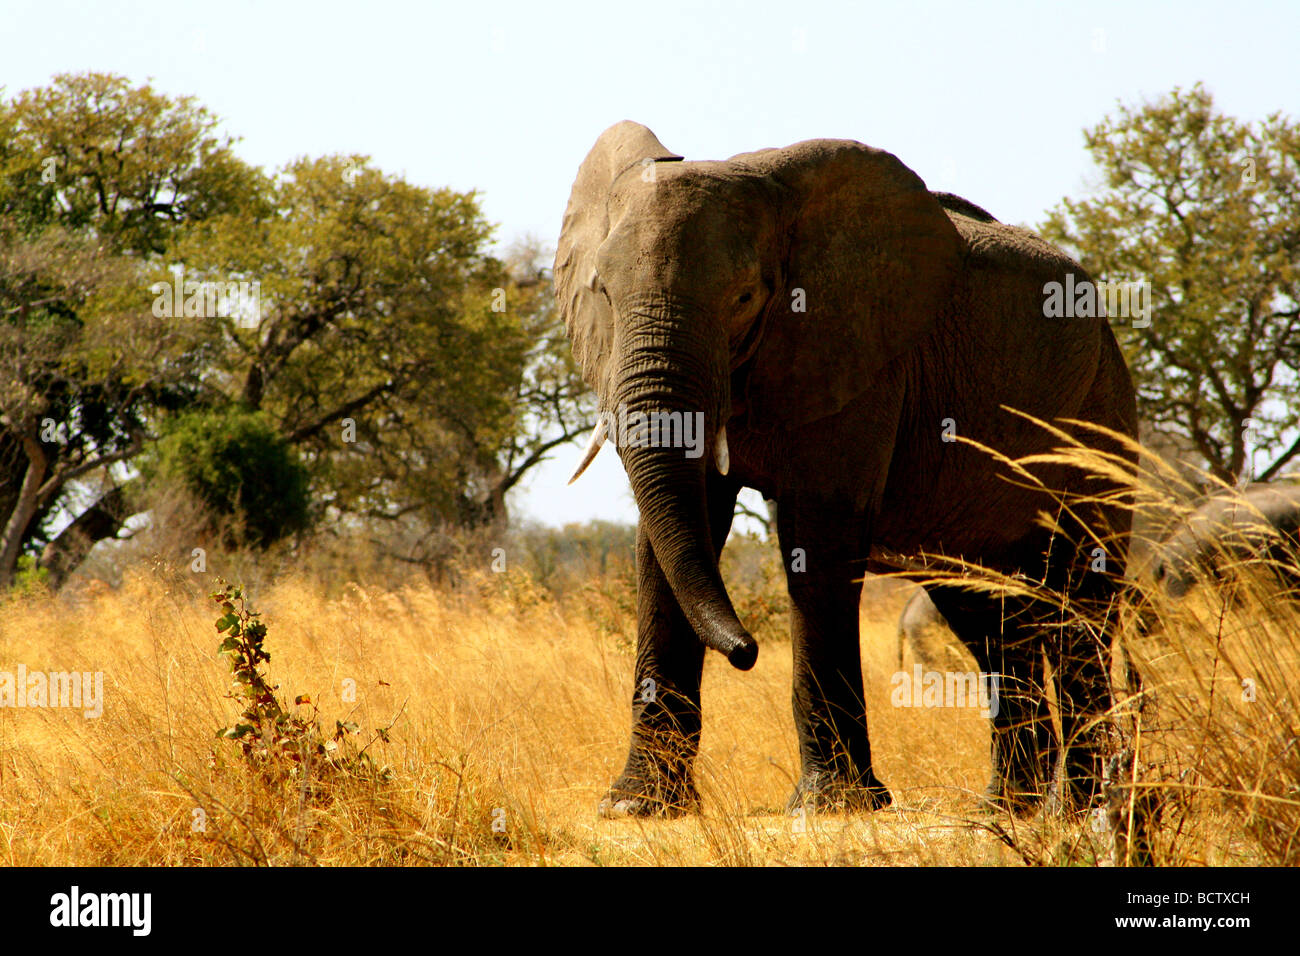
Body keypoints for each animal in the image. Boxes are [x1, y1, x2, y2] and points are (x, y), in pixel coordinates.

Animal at [559, 121, 1138, 816]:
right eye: (603, 293)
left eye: (745, 297)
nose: (747, 651)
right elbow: (665, 544)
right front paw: (637, 807)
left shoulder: (862, 356)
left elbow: (820, 533)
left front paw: (831, 806)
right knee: (991, 616)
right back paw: (1007, 810)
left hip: (1101, 409)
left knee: (1081, 602)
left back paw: (1077, 808)